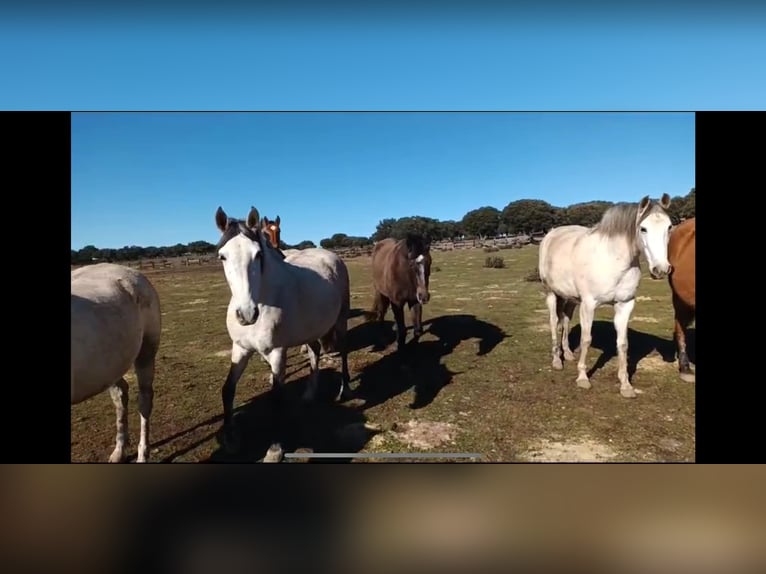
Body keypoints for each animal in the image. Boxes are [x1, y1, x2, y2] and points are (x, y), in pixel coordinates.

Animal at [72, 264, 162, 464]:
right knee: (120, 394)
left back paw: (142, 454)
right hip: (110, 366)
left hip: (146, 352)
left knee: (144, 400)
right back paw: (119, 450)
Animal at [212, 207, 352, 454]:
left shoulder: (277, 352)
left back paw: (344, 390)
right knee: (314, 351)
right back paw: (309, 394)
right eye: (222, 256)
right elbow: (227, 390)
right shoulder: (240, 349)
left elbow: (276, 398)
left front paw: (275, 448)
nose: (246, 314)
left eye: (258, 255)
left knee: (343, 351)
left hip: (341, 320)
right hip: (311, 329)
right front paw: (230, 440)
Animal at [540, 196, 672, 398]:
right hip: (551, 294)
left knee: (566, 320)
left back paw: (568, 354)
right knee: (554, 322)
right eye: (643, 228)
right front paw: (582, 378)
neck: (613, 260)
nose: (661, 269)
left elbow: (623, 344)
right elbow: (586, 339)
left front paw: (626, 385)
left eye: (669, 227)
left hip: (571, 298)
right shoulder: (589, 304)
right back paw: (556, 360)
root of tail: (551, 234)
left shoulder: (625, 305)